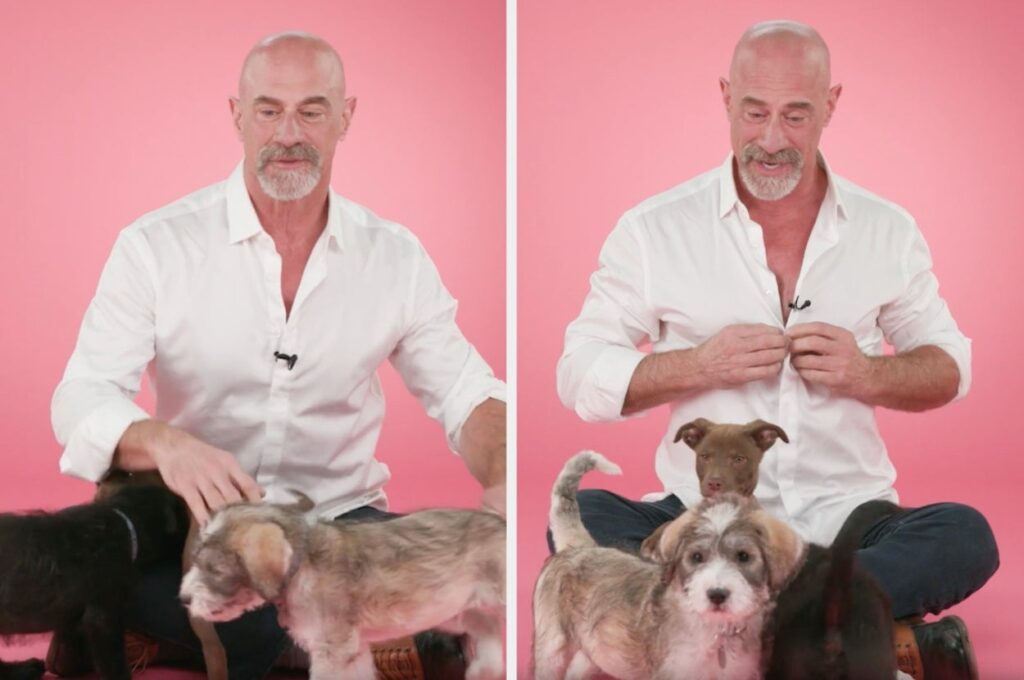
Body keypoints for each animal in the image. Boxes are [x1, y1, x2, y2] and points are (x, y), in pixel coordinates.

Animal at [180, 498, 506, 680]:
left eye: (215, 569)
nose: (183, 598)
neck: (302, 563)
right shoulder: (354, 651)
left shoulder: (332, 653)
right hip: (452, 611)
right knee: (487, 626)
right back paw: (485, 669)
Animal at [533, 451, 805, 680]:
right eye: (697, 557)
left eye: (743, 556)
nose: (717, 594)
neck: (715, 631)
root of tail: (580, 546)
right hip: (551, 645)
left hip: (594, 648)